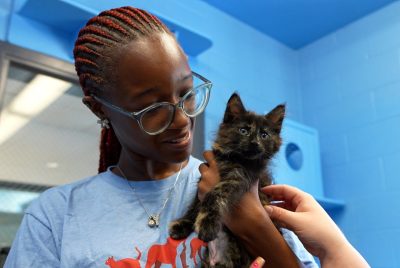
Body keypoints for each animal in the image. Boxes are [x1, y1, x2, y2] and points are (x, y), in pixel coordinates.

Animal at [170, 93, 286, 266]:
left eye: (264, 135)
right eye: (243, 130)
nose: (255, 142)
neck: (233, 159)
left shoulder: (237, 178)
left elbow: (214, 195)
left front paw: (207, 224)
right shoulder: (204, 177)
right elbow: (195, 203)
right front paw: (182, 224)